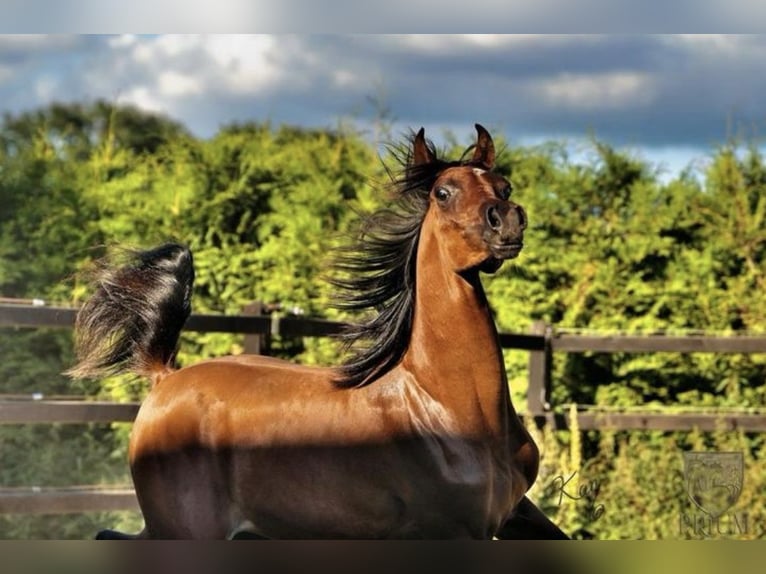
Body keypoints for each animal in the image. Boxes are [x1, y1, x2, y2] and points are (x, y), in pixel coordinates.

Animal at [67, 124, 568, 540]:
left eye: (505, 186)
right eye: (443, 192)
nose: (506, 220)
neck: (448, 406)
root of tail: (166, 378)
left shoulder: (514, 514)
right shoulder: (454, 531)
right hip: (187, 532)